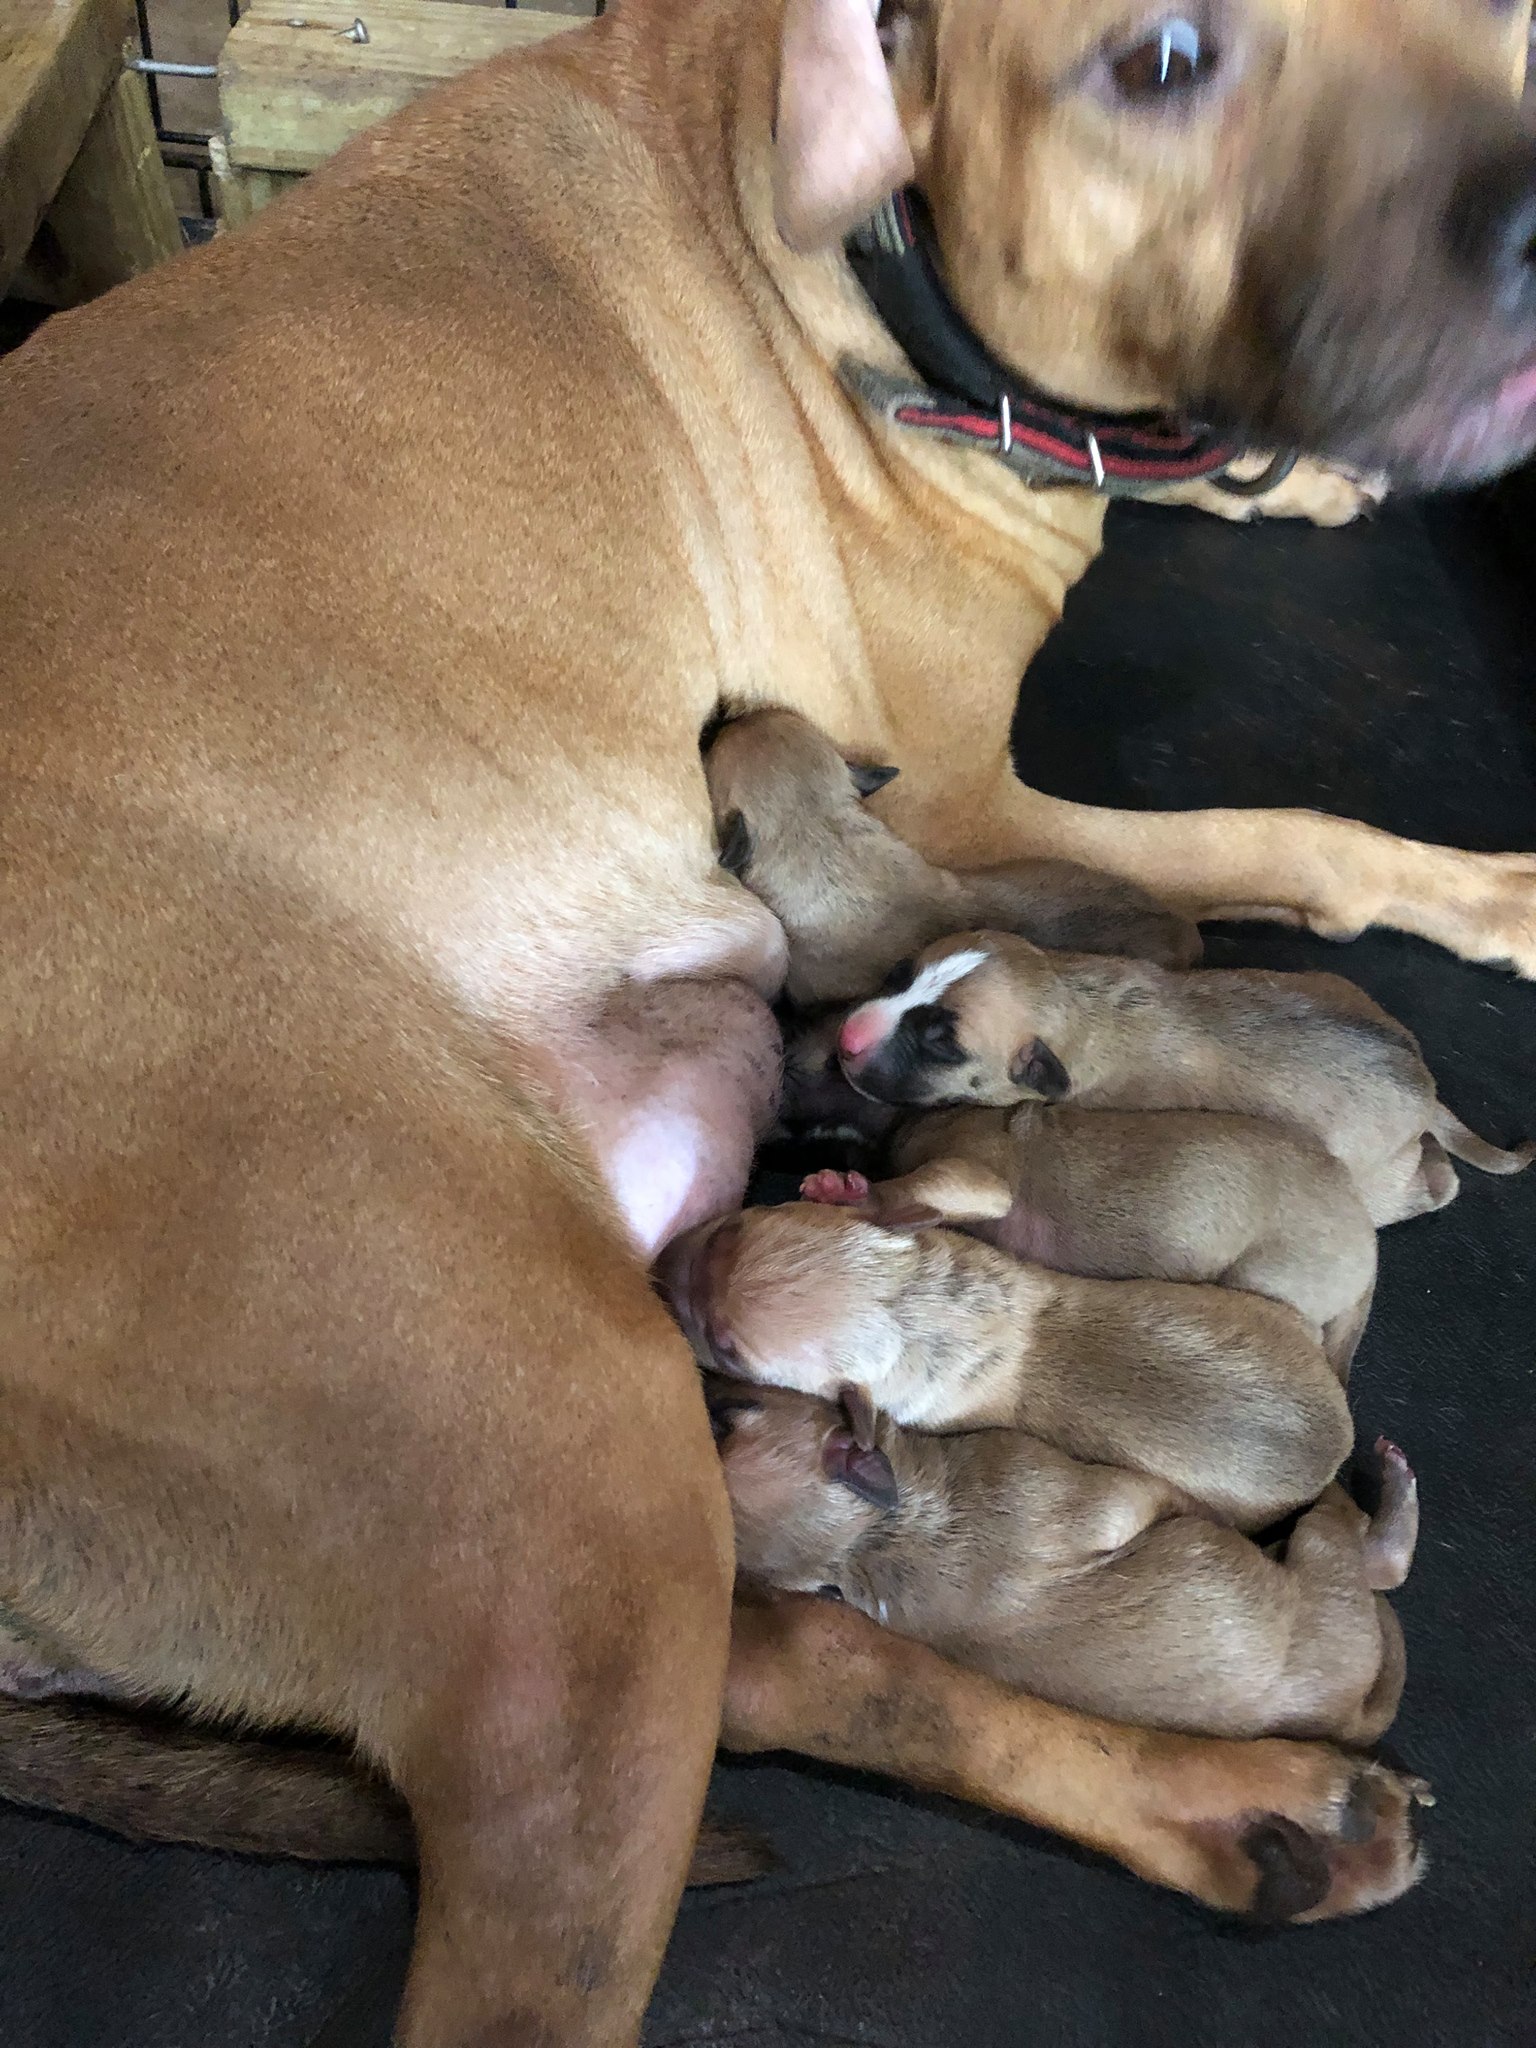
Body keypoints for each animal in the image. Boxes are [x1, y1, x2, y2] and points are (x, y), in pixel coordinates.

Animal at [715, 1382, 1416, 1743]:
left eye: (728, 1418)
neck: (872, 1540)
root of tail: (1344, 1717)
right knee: (1363, 1556)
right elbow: (1146, 1496)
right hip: (1325, 1573)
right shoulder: (1059, 1483)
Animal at [835, 930, 1534, 1223]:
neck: (1075, 1001)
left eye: (940, 1042)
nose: (846, 1040)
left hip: (1374, 1175)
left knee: (1432, 1183)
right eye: (898, 975)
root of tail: (1425, 1086)